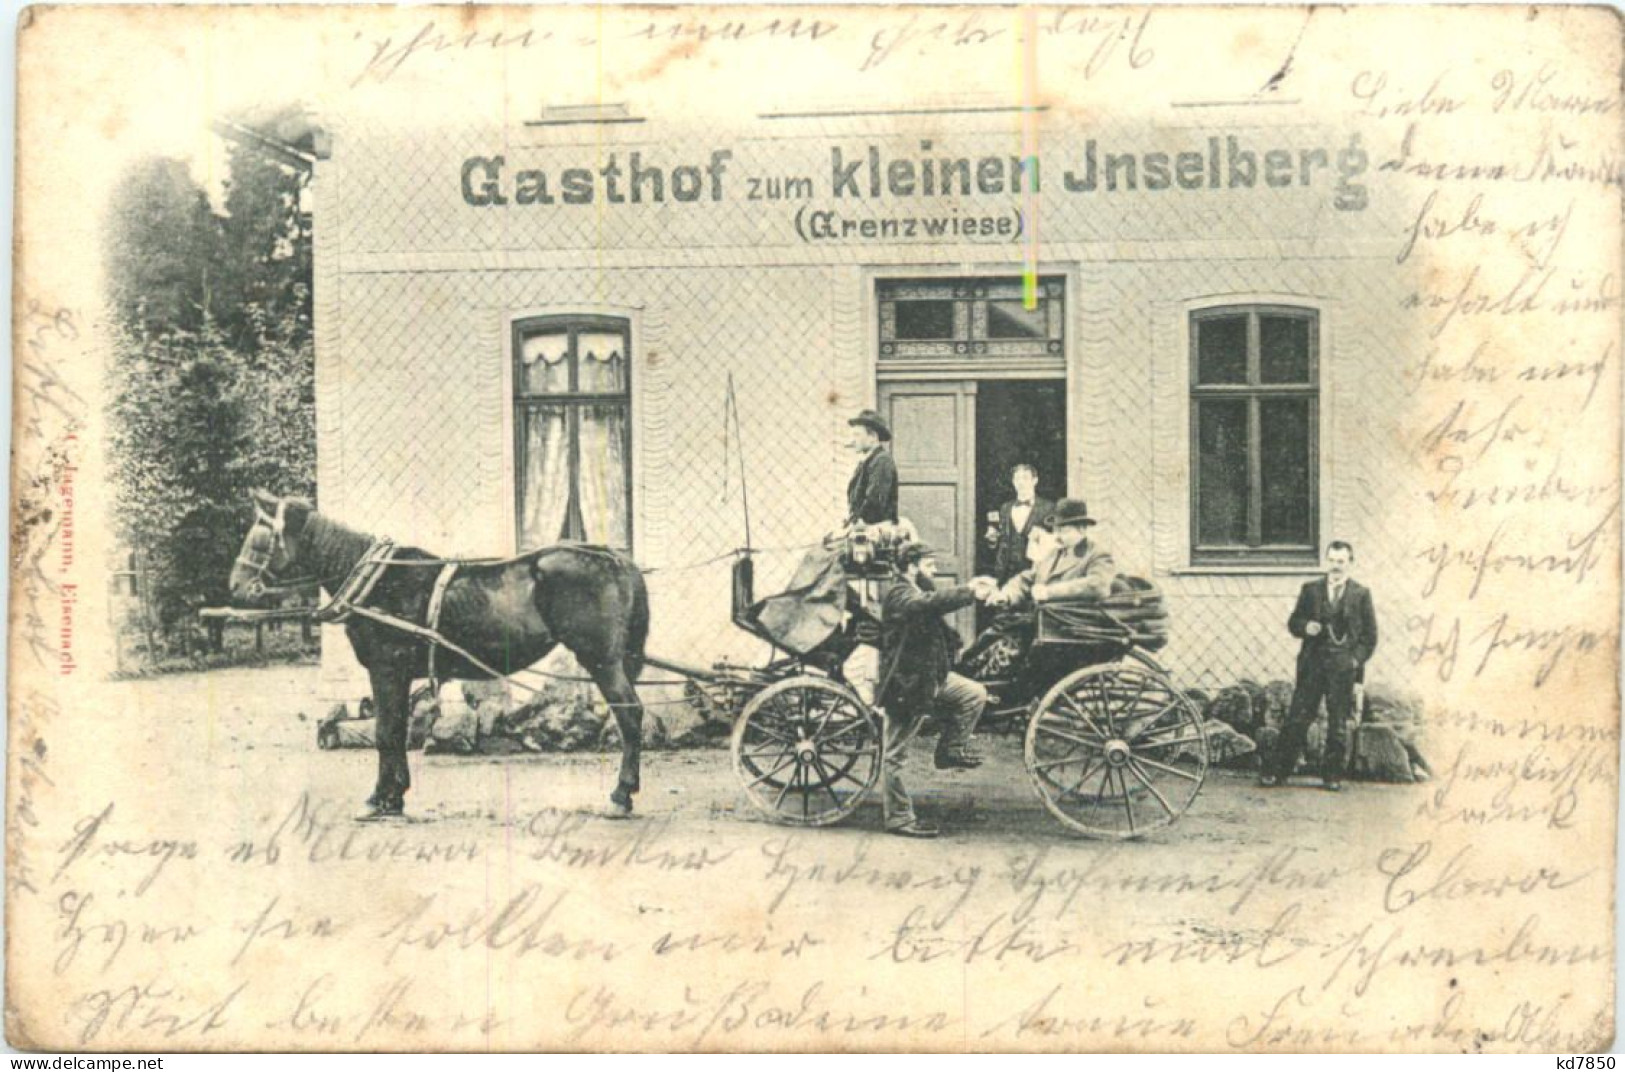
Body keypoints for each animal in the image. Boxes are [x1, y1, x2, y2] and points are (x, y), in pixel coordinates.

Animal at [229, 490, 646, 821]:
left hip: (602, 660)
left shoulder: (386, 669)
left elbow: (384, 733)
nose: (236, 588)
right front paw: (394, 797)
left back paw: (621, 795)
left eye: (261, 540)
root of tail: (616, 558)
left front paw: (379, 799)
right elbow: (396, 731)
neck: (379, 584)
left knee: (630, 714)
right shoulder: (396, 675)